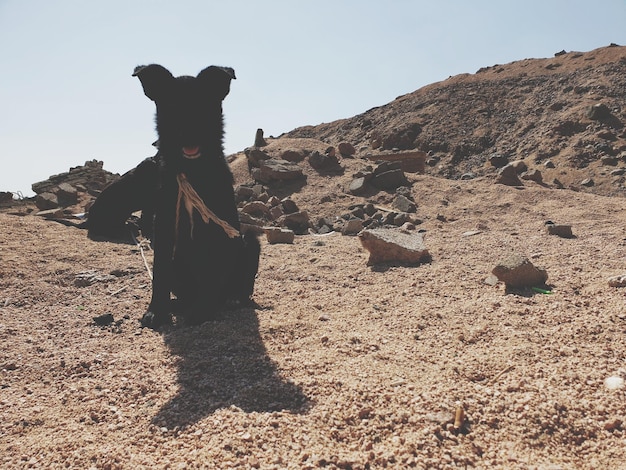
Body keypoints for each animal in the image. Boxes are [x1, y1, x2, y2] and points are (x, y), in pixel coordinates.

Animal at [130, 64, 260, 328]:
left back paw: (231, 298)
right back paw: (180, 303)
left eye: (204, 105)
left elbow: (211, 273)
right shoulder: (163, 229)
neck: (191, 170)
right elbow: (159, 273)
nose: (189, 132)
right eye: (171, 106)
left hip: (250, 241)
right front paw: (156, 311)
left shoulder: (217, 228)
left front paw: (203, 311)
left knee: (241, 285)